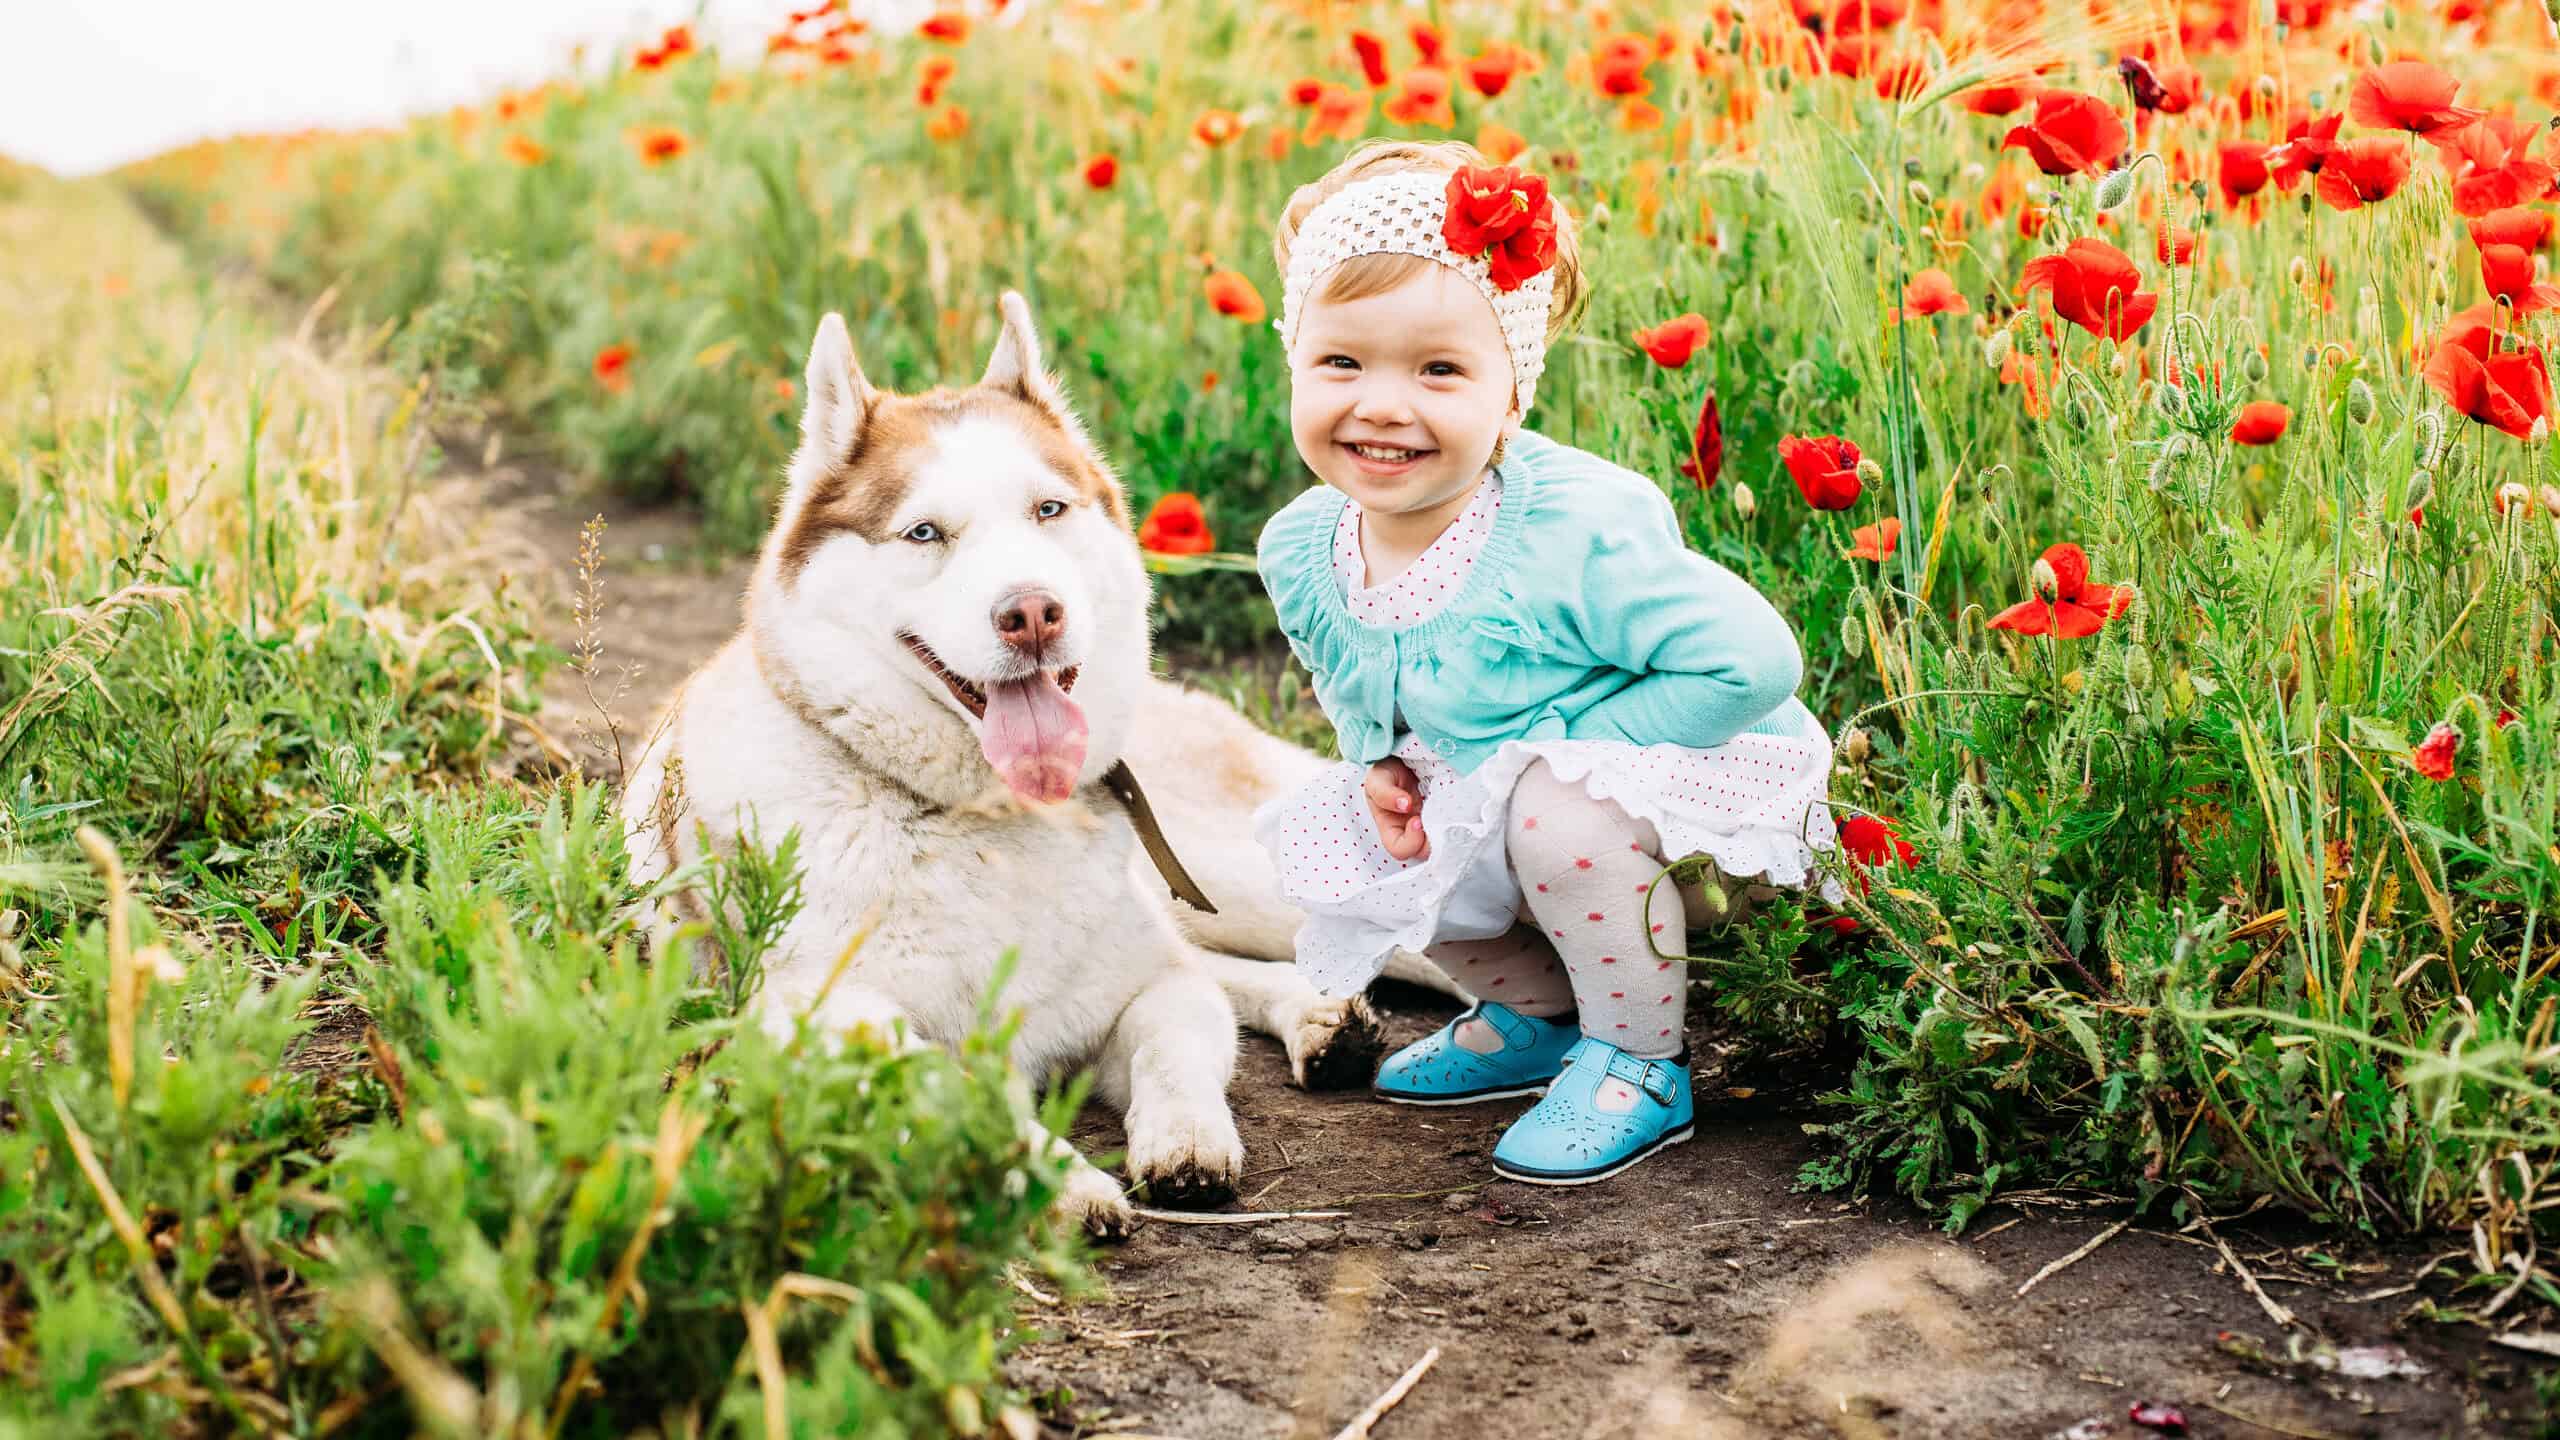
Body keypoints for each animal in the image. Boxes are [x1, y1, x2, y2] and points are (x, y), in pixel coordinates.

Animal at [619, 297, 1443, 1229]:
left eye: (1048, 510)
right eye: (924, 533)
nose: (1033, 613)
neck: (985, 822)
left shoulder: (1152, 988)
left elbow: (1176, 1040)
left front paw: (1185, 1138)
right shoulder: (820, 1020)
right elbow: (943, 1085)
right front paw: (1059, 1178)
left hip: (1252, 879)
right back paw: (1319, 1021)